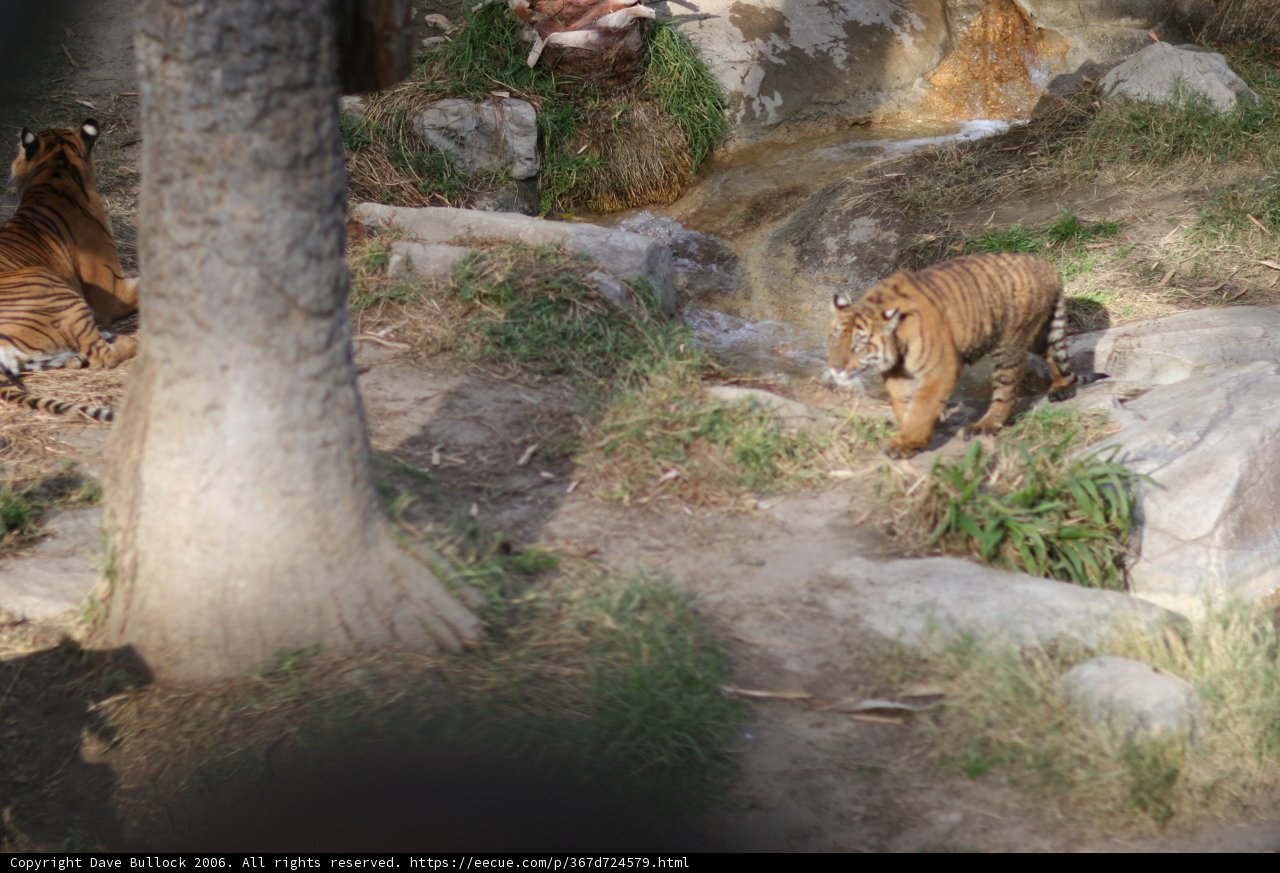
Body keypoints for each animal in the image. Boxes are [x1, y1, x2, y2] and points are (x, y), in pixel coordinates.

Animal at [827, 252, 1101, 458]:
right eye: (834, 340)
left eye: (859, 345)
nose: (836, 369)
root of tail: (1048, 266)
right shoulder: (898, 373)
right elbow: (903, 403)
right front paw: (909, 434)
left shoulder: (940, 368)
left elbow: (921, 405)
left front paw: (908, 441)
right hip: (1036, 335)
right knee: (1055, 353)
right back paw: (1061, 388)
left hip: (1009, 345)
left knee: (1007, 393)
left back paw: (984, 426)